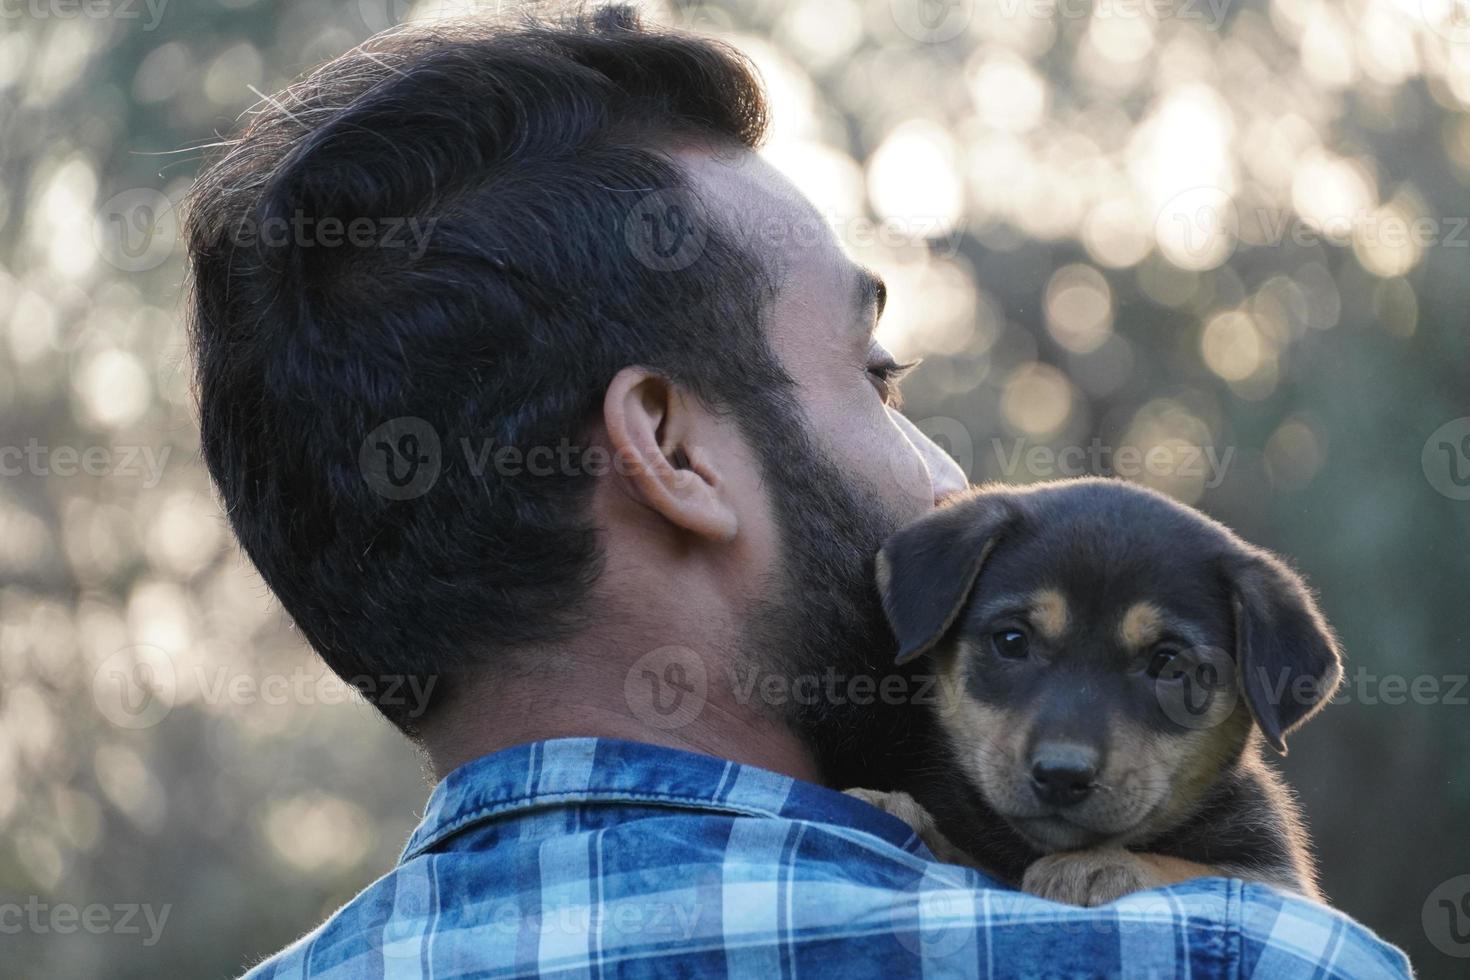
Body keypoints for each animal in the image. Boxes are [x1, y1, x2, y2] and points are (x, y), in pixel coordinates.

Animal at [852, 478, 1346, 910]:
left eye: (1169, 664)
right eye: (1011, 641)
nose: (1061, 775)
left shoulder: (1277, 876)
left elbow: (1197, 868)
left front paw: (1101, 866)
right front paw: (896, 811)